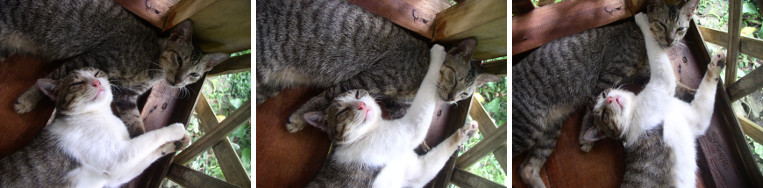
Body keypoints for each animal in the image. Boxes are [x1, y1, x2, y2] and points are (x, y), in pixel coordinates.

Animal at [0, 67, 190, 187]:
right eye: (76, 84)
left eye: (98, 74)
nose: (97, 83)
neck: (100, 115)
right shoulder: (117, 157)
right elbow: (153, 136)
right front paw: (176, 129)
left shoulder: (113, 178)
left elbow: (148, 159)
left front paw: (176, 144)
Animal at [2, 0, 230, 137]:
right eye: (179, 59)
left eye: (194, 74)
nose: (178, 82)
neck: (152, 67)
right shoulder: (89, 58)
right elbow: (55, 78)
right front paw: (29, 98)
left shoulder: (126, 96)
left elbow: (135, 121)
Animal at [256, 0, 502, 132]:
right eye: (455, 78)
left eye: (465, 94)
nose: (451, 99)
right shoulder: (365, 78)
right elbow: (327, 97)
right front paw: (301, 116)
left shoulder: (397, 106)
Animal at [512, 0, 700, 187]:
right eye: (662, 24)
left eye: (680, 29)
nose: (670, 40)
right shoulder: (608, 77)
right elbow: (591, 109)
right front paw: (586, 137)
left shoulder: (644, 75)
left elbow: (681, 88)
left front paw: (694, 92)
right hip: (527, 130)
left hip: (549, 132)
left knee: (527, 168)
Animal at [580, 12, 724, 187]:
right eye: (602, 116)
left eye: (603, 95)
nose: (609, 101)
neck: (633, 112)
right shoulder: (665, 83)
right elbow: (654, 48)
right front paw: (642, 19)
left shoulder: (697, 121)